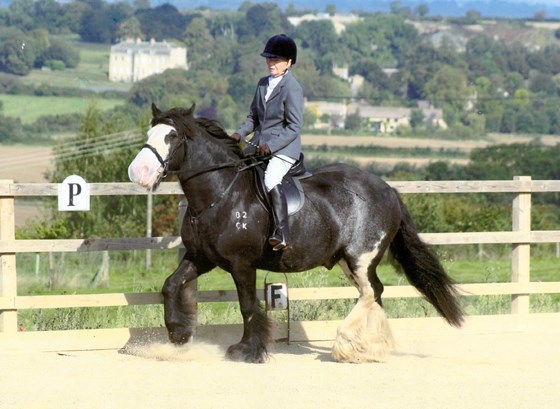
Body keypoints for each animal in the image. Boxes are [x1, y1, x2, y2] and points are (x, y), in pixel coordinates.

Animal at [128, 103, 464, 362]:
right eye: (148, 134)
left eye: (172, 136)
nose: (138, 173)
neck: (221, 194)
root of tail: (388, 190)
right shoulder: (201, 257)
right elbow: (170, 286)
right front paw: (179, 333)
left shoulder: (241, 263)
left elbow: (248, 305)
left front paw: (248, 350)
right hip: (348, 261)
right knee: (374, 293)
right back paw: (368, 347)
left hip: (361, 257)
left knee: (371, 292)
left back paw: (347, 343)